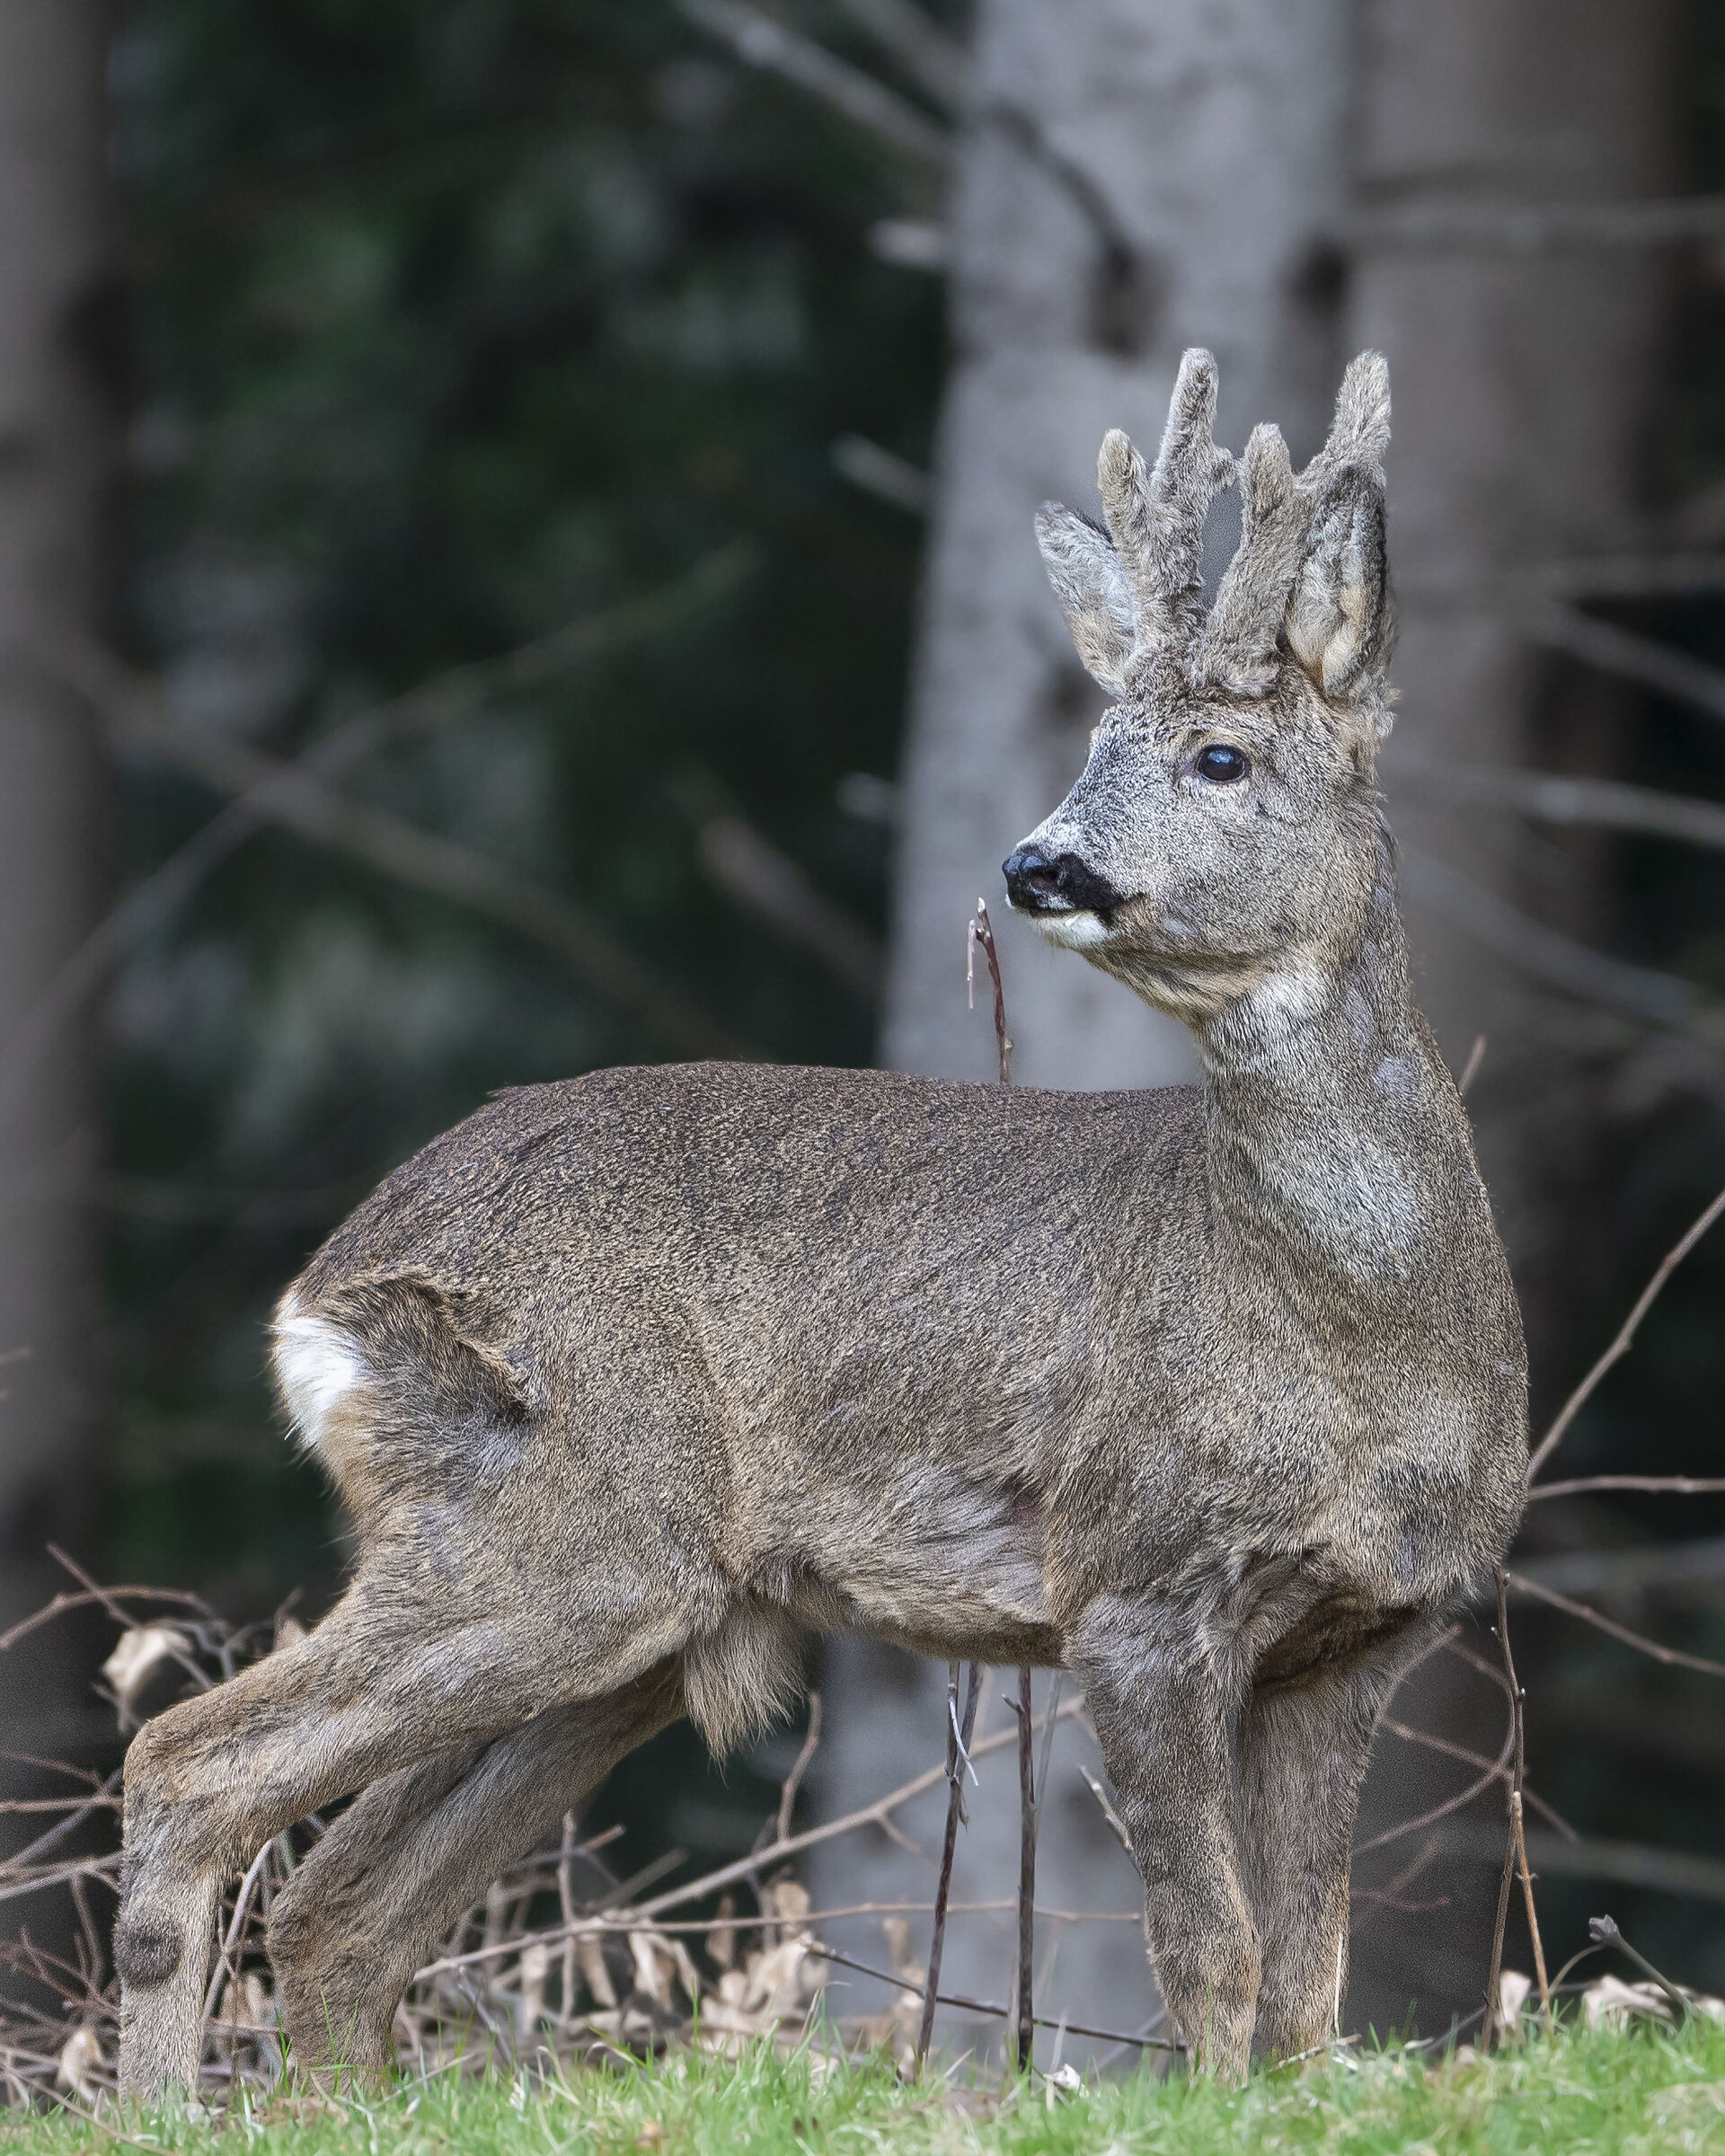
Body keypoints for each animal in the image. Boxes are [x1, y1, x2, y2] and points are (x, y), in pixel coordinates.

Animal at [114, 349, 1526, 2097]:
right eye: (1095, 735)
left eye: (1219, 759)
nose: (1040, 863)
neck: (1358, 1337)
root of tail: (323, 1291)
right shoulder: (1131, 1576)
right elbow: (1215, 1954)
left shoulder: (1369, 1631)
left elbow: (1310, 1985)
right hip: (563, 1533)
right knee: (188, 1766)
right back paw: (159, 2112)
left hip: (634, 1621)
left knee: (343, 1908)